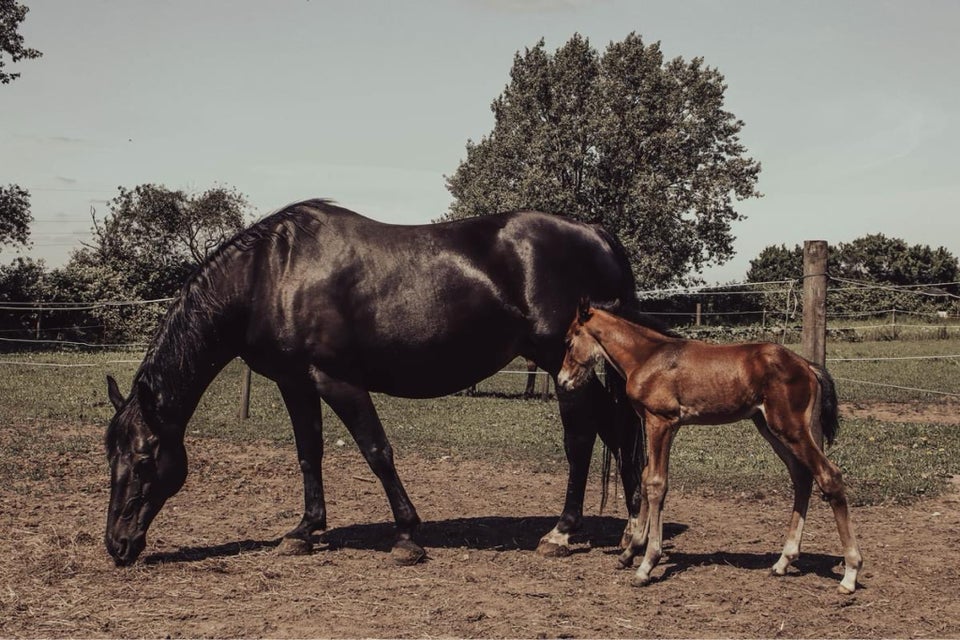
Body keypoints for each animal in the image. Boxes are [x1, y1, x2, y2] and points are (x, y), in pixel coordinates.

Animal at [103, 199, 644, 564]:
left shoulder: (337, 380)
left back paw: (563, 532)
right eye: (112, 456)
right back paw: (633, 530)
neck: (271, 274)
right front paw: (304, 531)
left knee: (582, 439)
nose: (117, 544)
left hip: (563, 366)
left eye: (146, 457)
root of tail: (595, 233)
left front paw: (406, 536)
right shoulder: (296, 384)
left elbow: (376, 451)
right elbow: (309, 453)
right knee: (617, 433)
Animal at [556, 300, 864, 596]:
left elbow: (656, 484)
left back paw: (850, 573)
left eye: (569, 340)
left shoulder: (662, 422)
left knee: (829, 475)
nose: (562, 380)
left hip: (790, 428)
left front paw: (646, 565)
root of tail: (807, 365)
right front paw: (630, 552)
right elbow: (645, 478)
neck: (647, 356)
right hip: (770, 428)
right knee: (802, 478)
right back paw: (783, 561)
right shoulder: (657, 425)